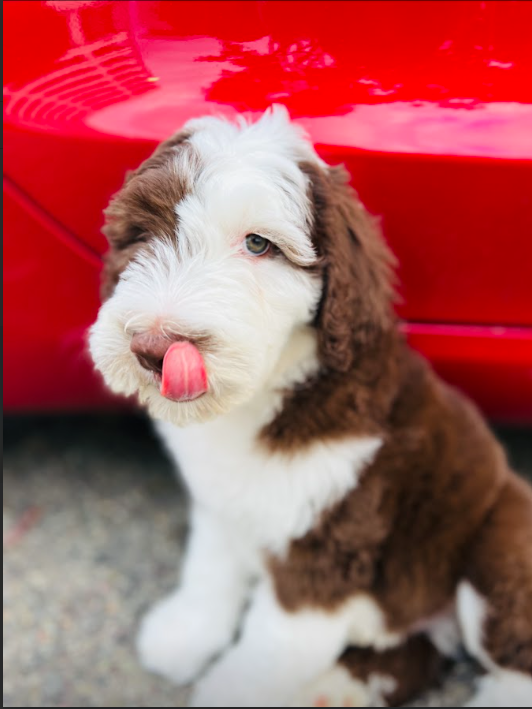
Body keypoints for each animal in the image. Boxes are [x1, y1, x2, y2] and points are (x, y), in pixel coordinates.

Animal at [90, 108, 532, 704]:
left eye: (258, 244)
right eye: (142, 234)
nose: (152, 349)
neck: (264, 397)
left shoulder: (326, 546)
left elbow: (269, 646)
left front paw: (229, 689)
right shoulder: (219, 502)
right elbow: (210, 568)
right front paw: (185, 633)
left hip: (497, 547)